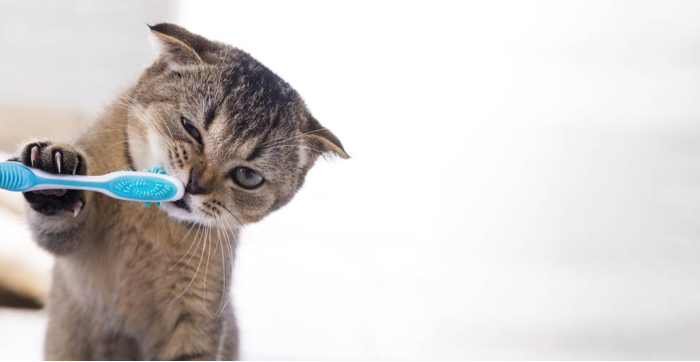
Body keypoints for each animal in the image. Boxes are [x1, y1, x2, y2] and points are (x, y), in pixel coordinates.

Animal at [12, 24, 346, 360]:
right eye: (190, 128)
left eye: (248, 176)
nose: (195, 184)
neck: (151, 223)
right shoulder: (69, 245)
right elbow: (58, 225)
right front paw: (55, 177)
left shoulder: (197, 316)